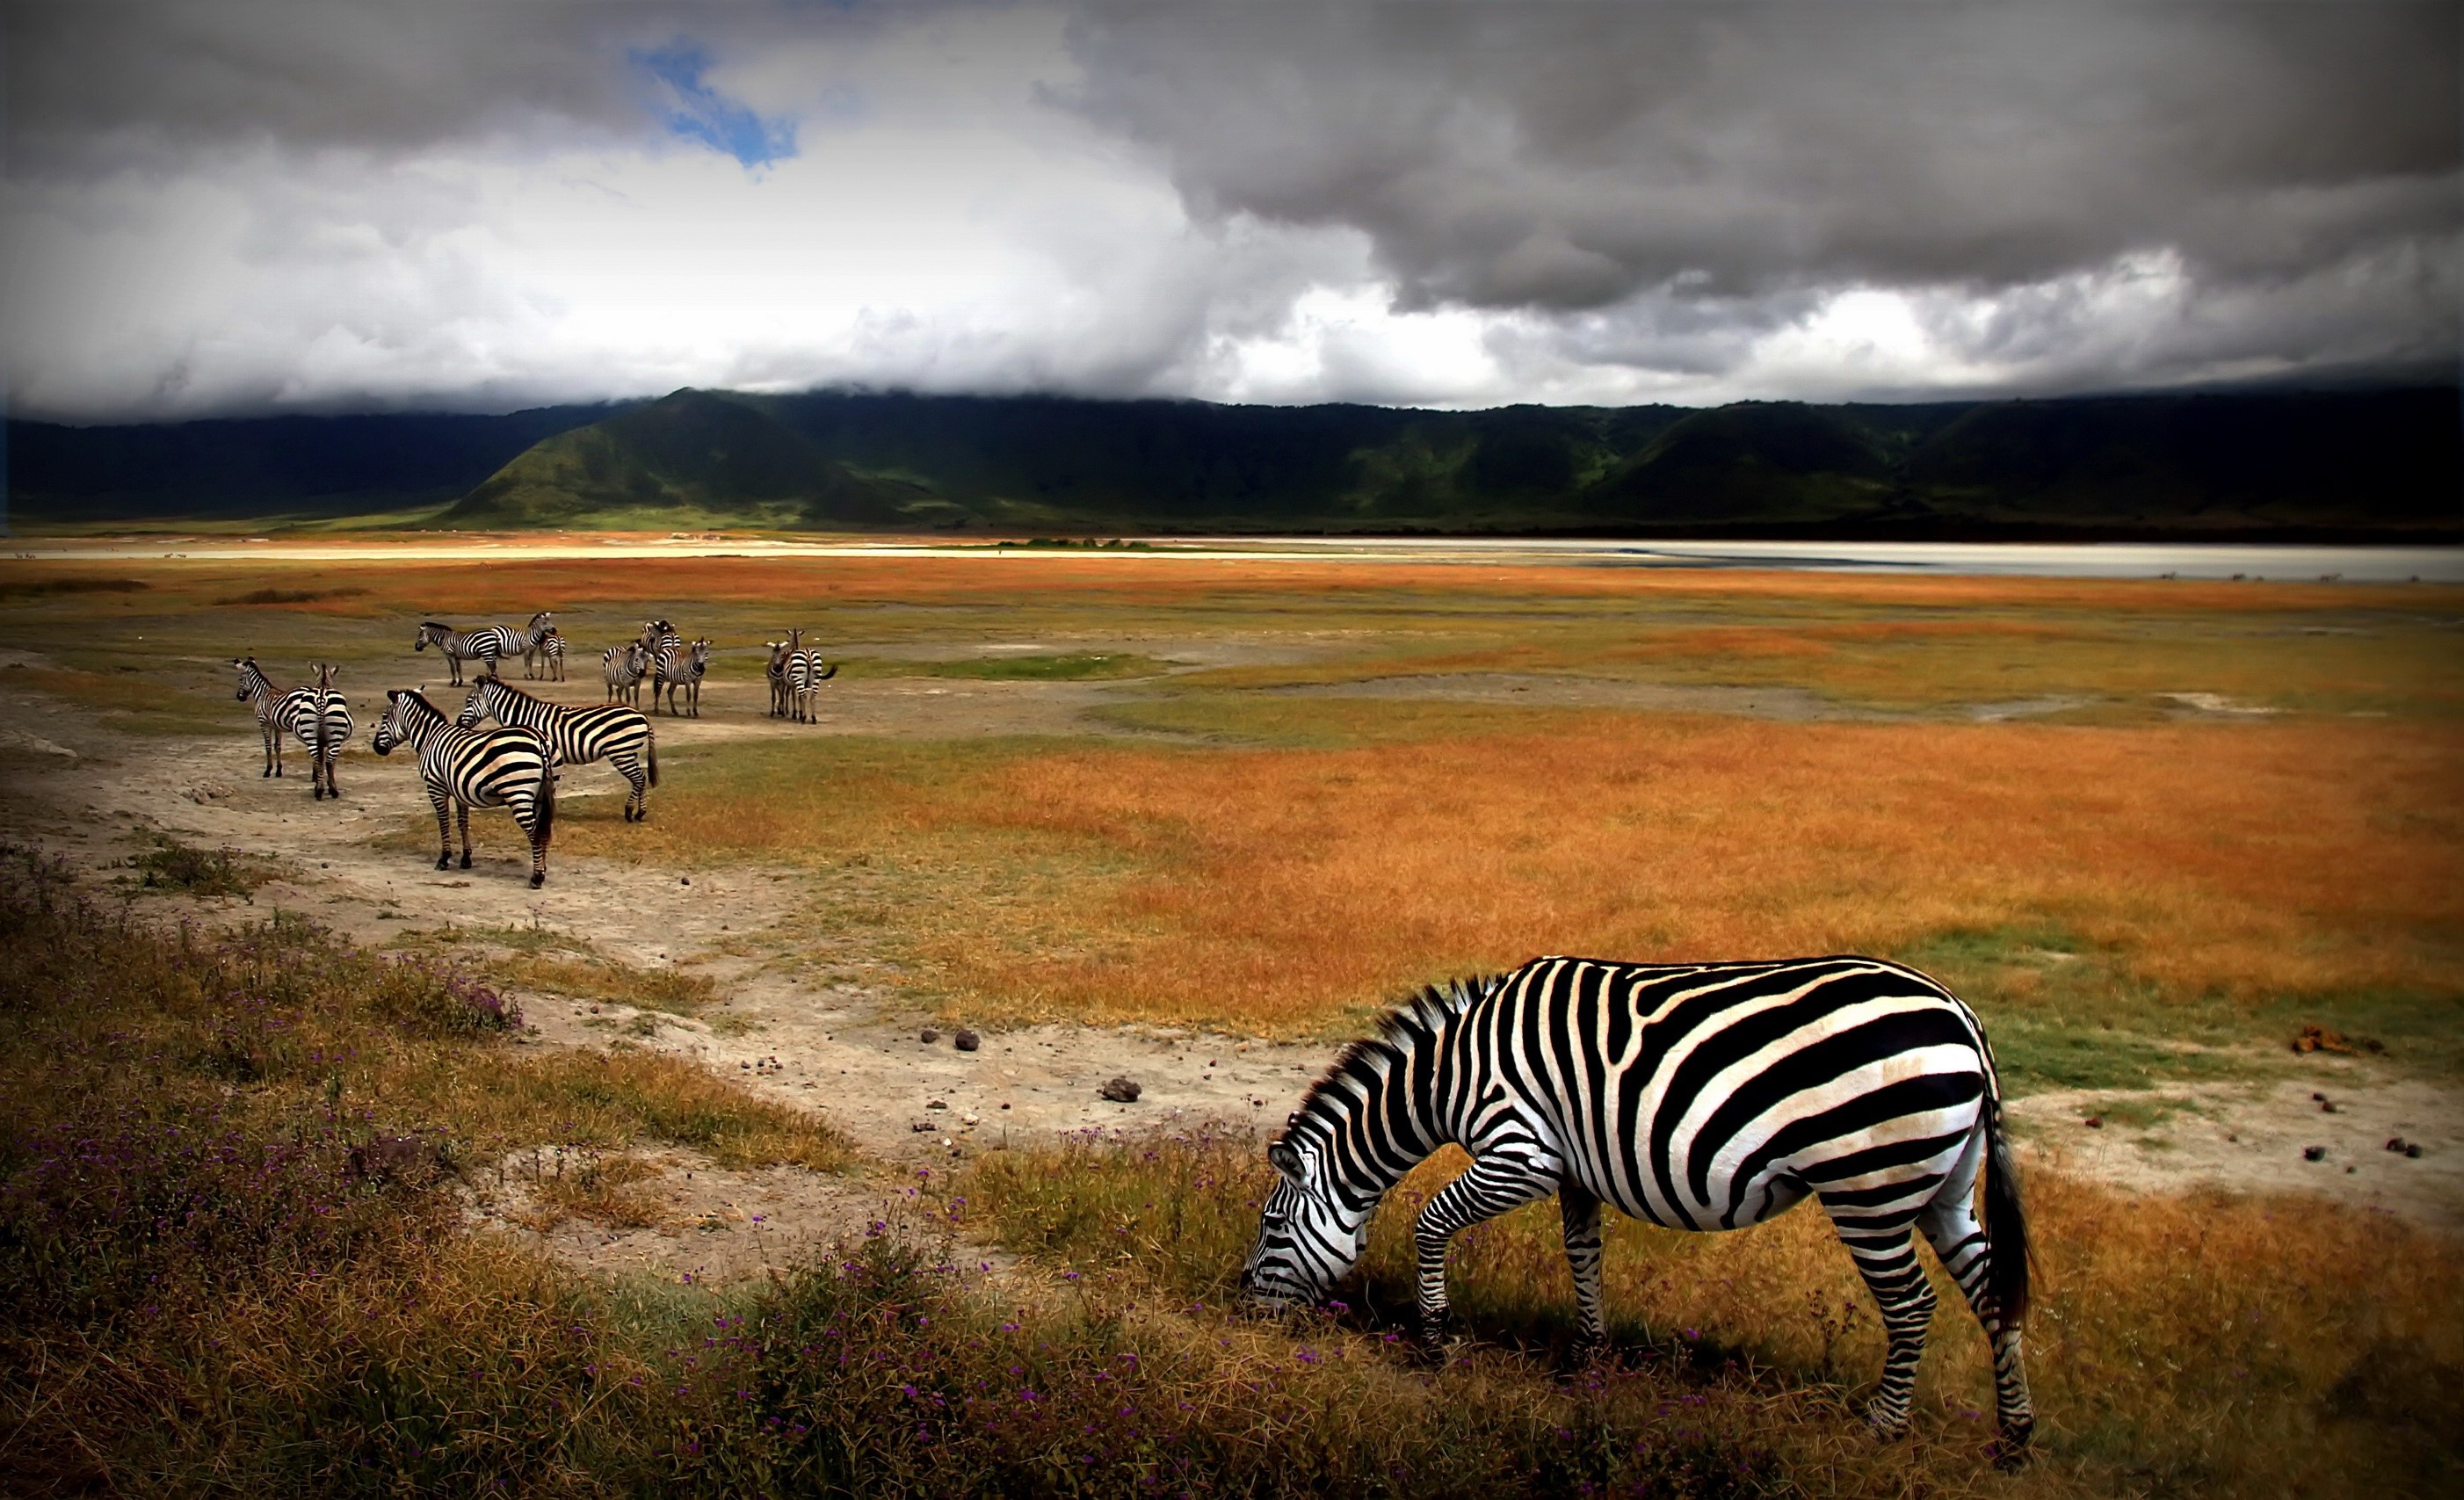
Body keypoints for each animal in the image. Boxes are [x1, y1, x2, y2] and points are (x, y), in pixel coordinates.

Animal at [230, 655, 352, 796]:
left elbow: (268, 746)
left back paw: (316, 778)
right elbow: (277, 747)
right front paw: (278, 770)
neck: (263, 693)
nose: (239, 697)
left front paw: (268, 770)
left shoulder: (264, 723)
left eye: (240, 679)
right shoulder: (277, 726)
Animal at [370, 688, 557, 887]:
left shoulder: (436, 787)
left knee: (535, 833)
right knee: (544, 830)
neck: (430, 737)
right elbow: (463, 823)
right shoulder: (460, 790)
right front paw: (466, 859)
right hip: (540, 795)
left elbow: (443, 821)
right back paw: (542, 869)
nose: (376, 747)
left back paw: (536, 878)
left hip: (518, 793)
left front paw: (444, 859)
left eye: (384, 717)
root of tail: (538, 740)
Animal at [457, 674, 658, 822]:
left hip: (621, 752)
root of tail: (641, 715)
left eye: (469, 701)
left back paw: (630, 813)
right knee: (641, 778)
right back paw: (639, 814)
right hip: (628, 753)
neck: (525, 716)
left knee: (639, 778)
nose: (459, 723)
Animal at [1240, 955, 2036, 1461]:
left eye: (1273, 1227)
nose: (1243, 1311)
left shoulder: (1522, 1153)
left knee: (1911, 1305)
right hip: (1944, 1188)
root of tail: (1964, 1018)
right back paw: (2014, 1438)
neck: (1448, 1075)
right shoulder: (1574, 1167)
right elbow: (1583, 1252)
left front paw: (1437, 1340)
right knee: (1993, 1293)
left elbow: (1432, 1220)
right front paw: (1586, 1359)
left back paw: (1881, 1429)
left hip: (1868, 1184)